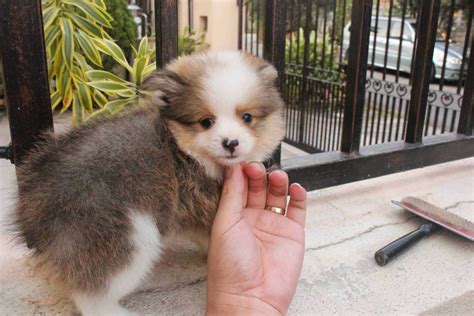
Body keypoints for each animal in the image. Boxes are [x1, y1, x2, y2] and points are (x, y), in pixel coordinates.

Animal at [12, 50, 286, 314]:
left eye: (247, 117)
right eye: (206, 122)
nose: (231, 143)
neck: (183, 148)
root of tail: (33, 210)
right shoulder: (205, 203)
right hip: (127, 236)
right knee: (91, 295)